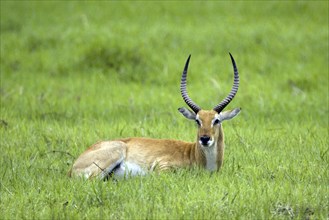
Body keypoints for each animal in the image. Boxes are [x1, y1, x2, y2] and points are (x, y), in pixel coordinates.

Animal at [68, 53, 238, 180]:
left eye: (216, 120)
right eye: (197, 121)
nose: (204, 138)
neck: (194, 156)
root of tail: (72, 168)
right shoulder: (162, 167)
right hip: (114, 154)